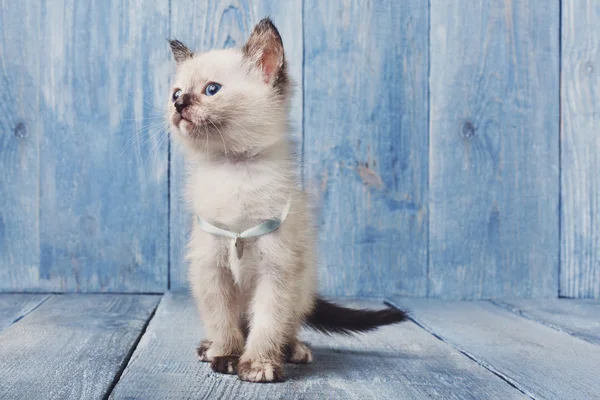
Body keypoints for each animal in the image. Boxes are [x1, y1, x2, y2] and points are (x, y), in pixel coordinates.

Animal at [166, 17, 406, 382]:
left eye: (212, 90)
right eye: (176, 93)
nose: (179, 106)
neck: (233, 170)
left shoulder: (277, 269)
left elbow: (268, 323)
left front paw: (258, 365)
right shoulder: (210, 267)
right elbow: (221, 320)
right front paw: (226, 355)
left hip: (301, 284)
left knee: (288, 324)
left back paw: (293, 350)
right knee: (235, 323)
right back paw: (210, 348)